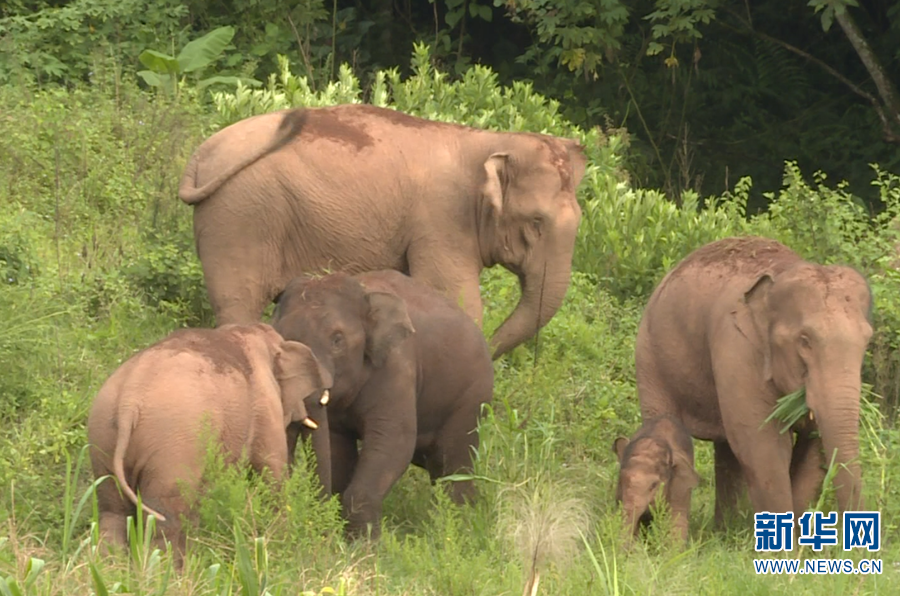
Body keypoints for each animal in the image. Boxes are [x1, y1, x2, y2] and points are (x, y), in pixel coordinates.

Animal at [86, 324, 332, 564]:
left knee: (112, 510)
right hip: (172, 448)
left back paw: (112, 567)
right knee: (165, 517)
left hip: (102, 433)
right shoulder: (265, 403)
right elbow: (270, 472)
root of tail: (129, 398)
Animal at [178, 102, 588, 358]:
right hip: (240, 216)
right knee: (239, 303)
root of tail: (201, 154)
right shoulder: (442, 221)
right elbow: (457, 300)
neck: (490, 139)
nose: (492, 348)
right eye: (536, 222)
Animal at [632, 237, 872, 528]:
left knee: (727, 449)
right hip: (650, 358)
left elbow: (812, 448)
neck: (782, 271)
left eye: (867, 340)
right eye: (804, 340)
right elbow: (762, 447)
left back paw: (725, 531)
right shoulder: (738, 348)